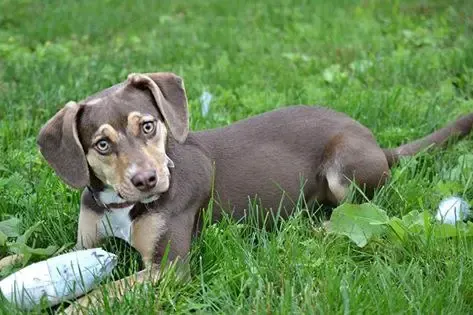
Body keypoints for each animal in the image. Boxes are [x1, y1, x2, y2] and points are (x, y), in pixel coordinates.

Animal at [34, 73, 472, 312]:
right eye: (102, 145)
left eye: (147, 126)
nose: (147, 180)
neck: (123, 204)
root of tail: (379, 146)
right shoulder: (83, 243)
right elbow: (42, 257)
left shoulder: (169, 267)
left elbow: (104, 292)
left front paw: (71, 308)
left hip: (344, 167)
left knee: (357, 212)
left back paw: (311, 229)